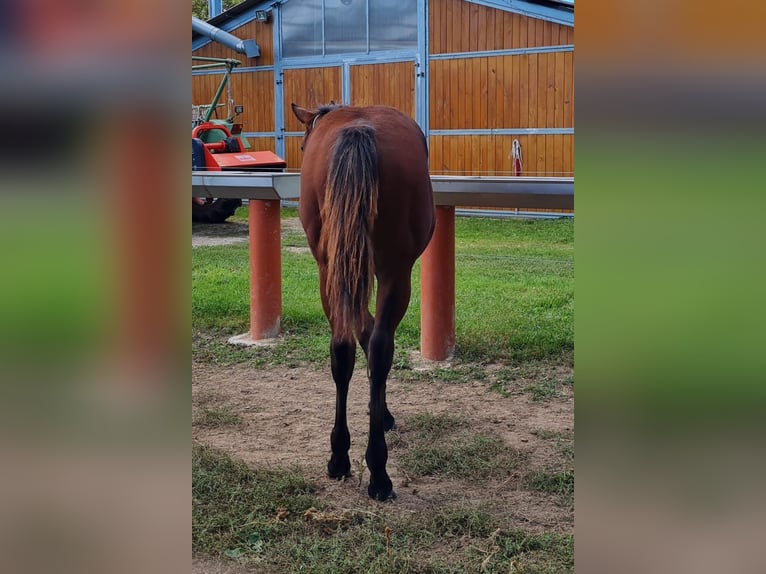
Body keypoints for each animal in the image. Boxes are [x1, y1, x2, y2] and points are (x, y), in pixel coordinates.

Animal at [294, 104, 436, 504]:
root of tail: (358, 129)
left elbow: (360, 329)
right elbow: (373, 337)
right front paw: (382, 415)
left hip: (332, 269)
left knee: (343, 347)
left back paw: (340, 456)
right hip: (394, 272)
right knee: (380, 348)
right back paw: (378, 472)